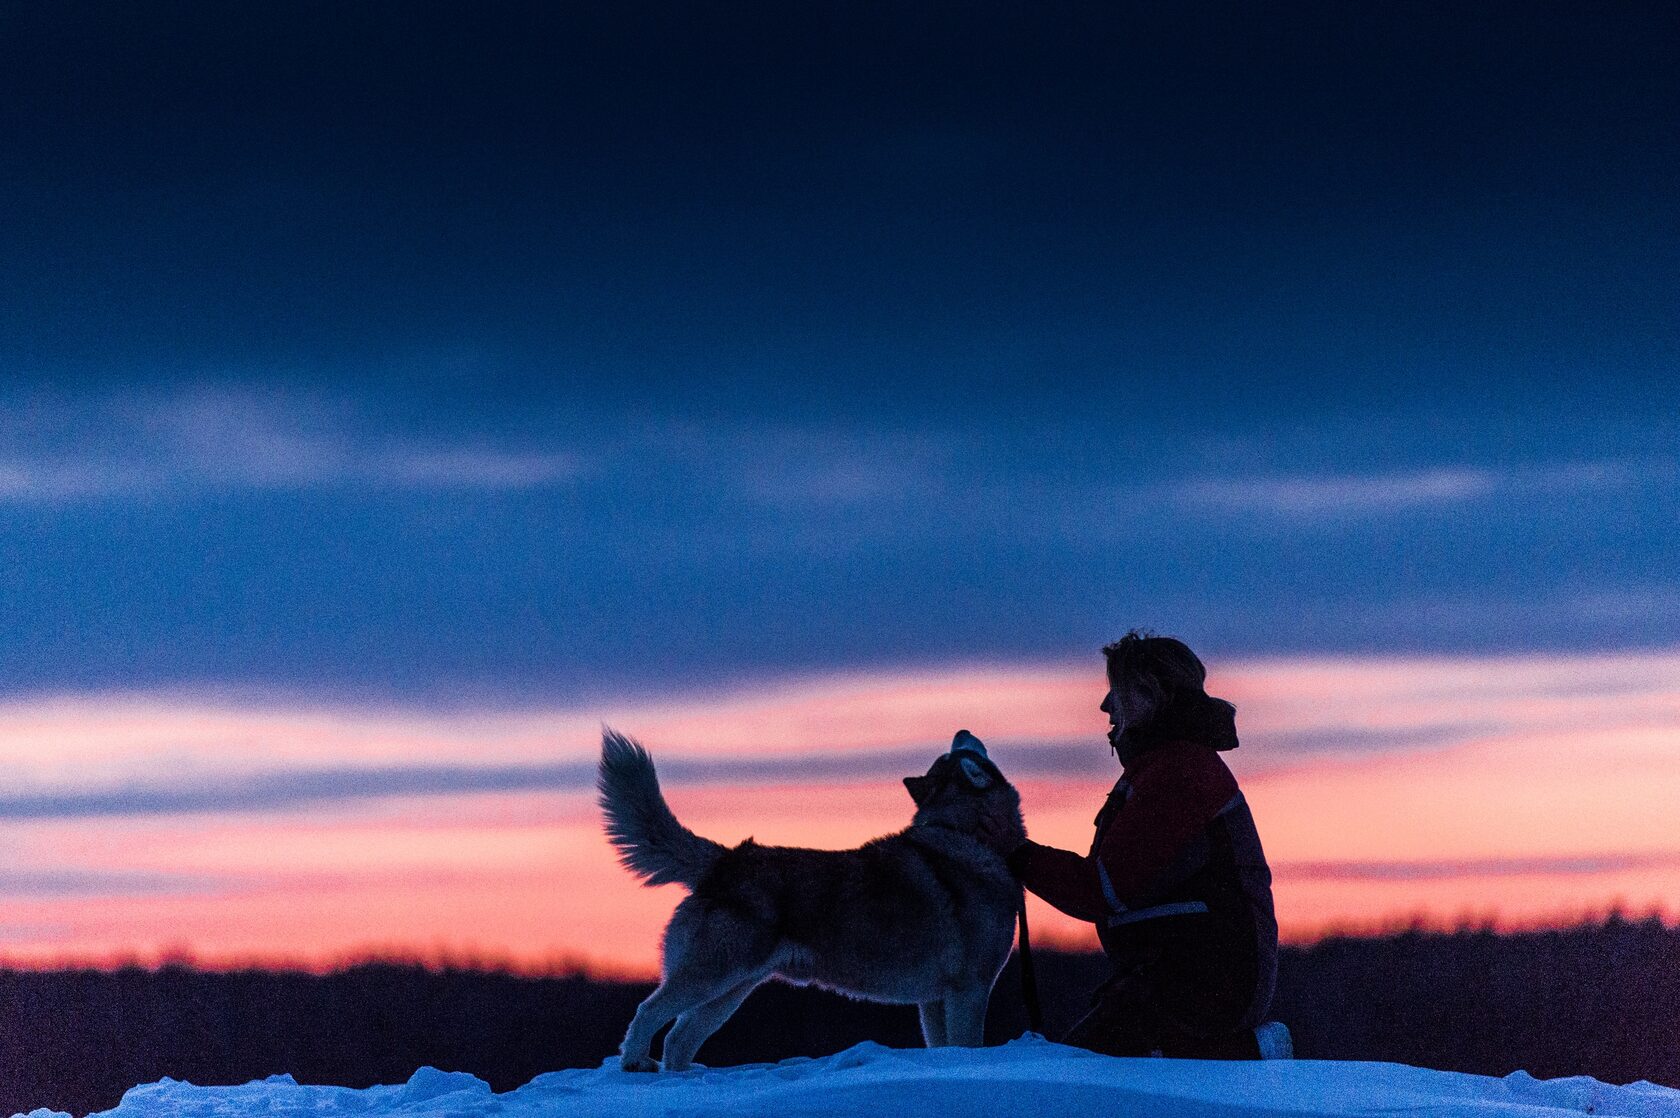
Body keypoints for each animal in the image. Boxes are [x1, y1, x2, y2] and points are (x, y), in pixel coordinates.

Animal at [604, 729, 1021, 1069]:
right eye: (959, 750)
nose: (961, 729)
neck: (966, 834)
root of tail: (726, 858)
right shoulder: (969, 989)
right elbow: (968, 1046)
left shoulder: (934, 1000)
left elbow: (943, 1048)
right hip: (711, 978)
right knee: (648, 1011)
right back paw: (636, 1064)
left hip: (730, 991)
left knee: (678, 1039)